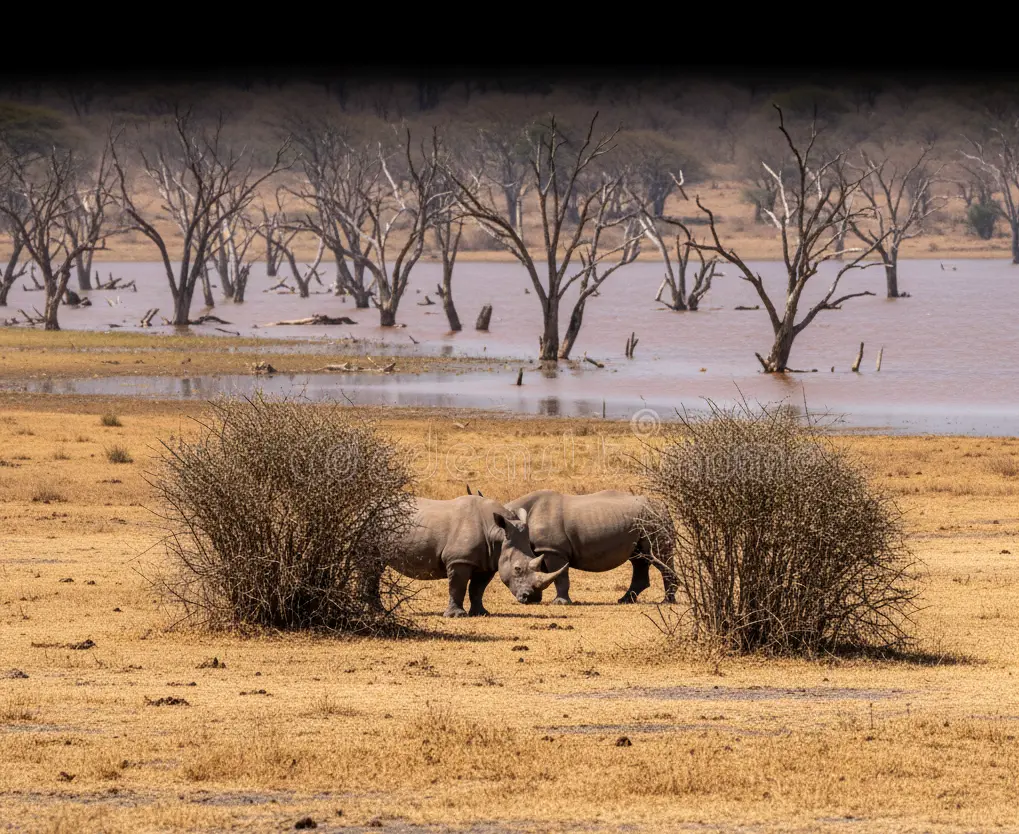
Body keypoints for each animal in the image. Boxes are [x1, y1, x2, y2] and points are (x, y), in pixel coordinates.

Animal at [390, 495, 567, 617]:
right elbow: (457, 587)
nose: (533, 598)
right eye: (517, 569)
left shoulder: (487, 562)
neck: (497, 532)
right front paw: (456, 616)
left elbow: (477, 588)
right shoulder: (459, 560)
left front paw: (481, 613)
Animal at [501, 489, 678, 606]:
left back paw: (666, 602)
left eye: (517, 569)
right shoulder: (545, 549)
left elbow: (560, 576)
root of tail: (664, 507)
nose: (528, 599)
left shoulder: (553, 550)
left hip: (654, 519)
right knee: (639, 559)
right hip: (642, 521)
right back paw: (624, 600)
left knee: (657, 557)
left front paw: (560, 602)